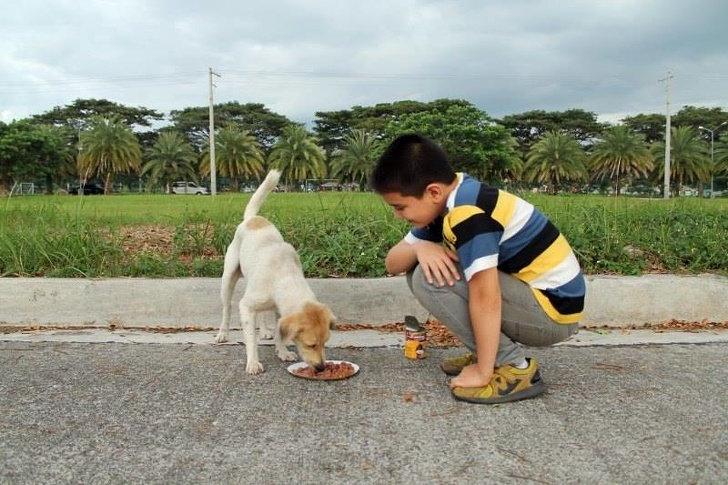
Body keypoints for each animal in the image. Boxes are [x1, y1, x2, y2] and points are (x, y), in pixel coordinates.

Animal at [215, 170, 336, 374]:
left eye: (325, 342)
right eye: (311, 345)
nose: (321, 368)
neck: (285, 276)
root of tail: (252, 218)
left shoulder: (278, 309)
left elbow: (280, 332)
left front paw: (282, 351)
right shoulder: (246, 306)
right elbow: (250, 338)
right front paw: (253, 362)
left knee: (262, 313)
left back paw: (264, 331)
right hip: (228, 278)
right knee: (226, 308)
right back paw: (223, 333)